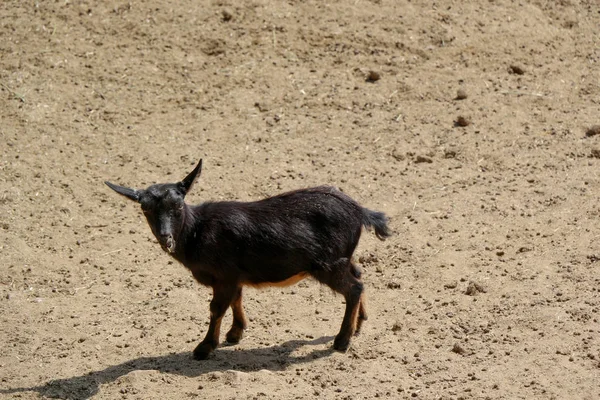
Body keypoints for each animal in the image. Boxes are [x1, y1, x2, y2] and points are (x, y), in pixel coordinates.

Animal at [106, 159, 392, 360]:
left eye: (177, 206)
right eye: (145, 209)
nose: (166, 237)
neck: (197, 232)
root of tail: (360, 212)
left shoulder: (224, 275)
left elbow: (217, 307)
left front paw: (205, 347)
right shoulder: (234, 275)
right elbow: (237, 299)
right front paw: (235, 333)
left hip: (328, 263)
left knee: (353, 287)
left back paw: (342, 341)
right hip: (343, 257)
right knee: (358, 275)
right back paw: (359, 324)